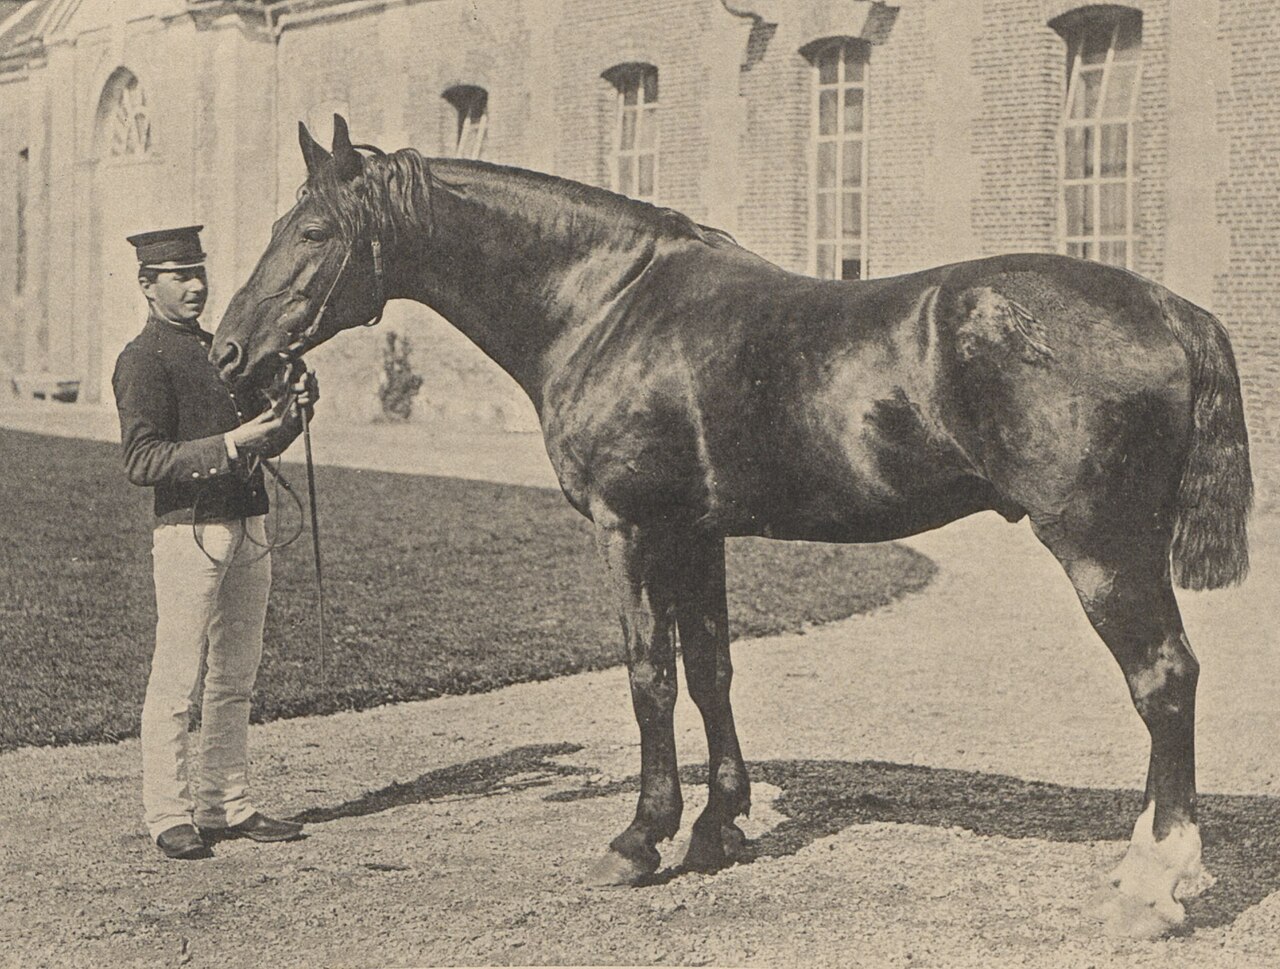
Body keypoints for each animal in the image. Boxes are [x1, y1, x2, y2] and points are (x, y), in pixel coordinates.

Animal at [211, 115, 1251, 938]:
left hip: (1101, 549)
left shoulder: (629, 530)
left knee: (1165, 682)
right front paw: (718, 827)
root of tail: (1171, 306)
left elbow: (650, 676)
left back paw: (1153, 888)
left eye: (313, 230)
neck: (605, 307)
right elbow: (711, 667)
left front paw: (640, 838)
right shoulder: (694, 533)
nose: (228, 352)